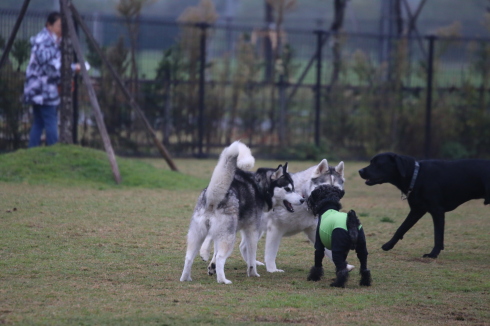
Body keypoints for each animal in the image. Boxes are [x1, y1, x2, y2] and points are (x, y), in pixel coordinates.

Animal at [180, 141, 302, 284]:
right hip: (228, 237)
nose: (302, 199)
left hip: (197, 235)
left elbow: (215, 251)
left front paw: (212, 267)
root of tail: (212, 199)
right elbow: (251, 256)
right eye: (288, 189)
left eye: (293, 188)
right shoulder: (252, 231)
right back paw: (223, 280)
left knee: (189, 257)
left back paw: (186, 278)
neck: (260, 187)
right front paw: (253, 273)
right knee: (221, 257)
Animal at [356, 154, 490, 258]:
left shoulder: (437, 211)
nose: (360, 171)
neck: (416, 175)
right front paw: (389, 245)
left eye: (377, 163)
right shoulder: (417, 210)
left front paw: (433, 254)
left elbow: (438, 235)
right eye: (371, 162)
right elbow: (402, 228)